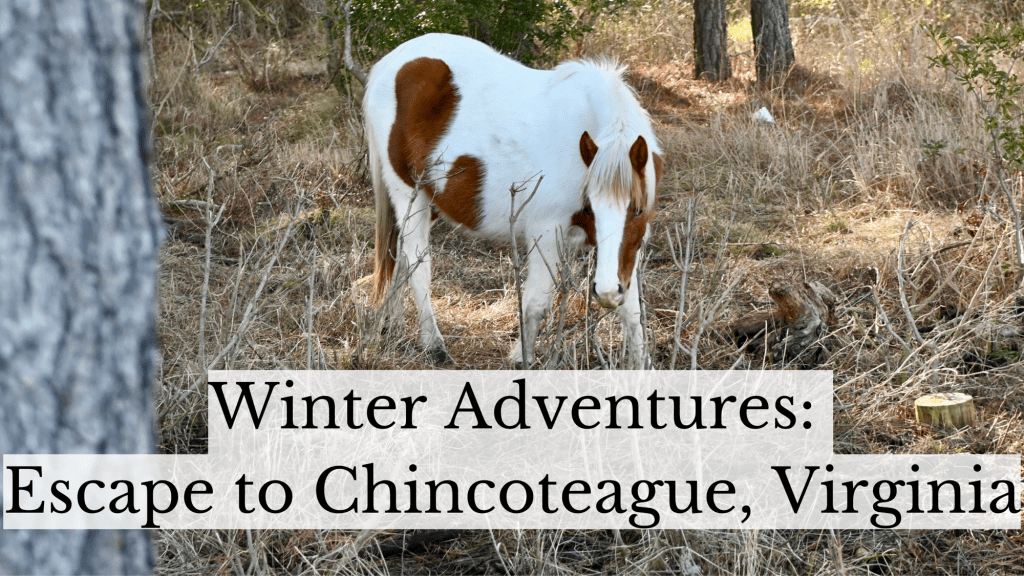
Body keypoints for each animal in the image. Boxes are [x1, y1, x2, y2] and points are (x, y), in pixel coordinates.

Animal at [363, 33, 663, 367]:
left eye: (637, 210)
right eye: (590, 208)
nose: (608, 292)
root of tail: (392, 62)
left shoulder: (629, 249)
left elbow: (633, 311)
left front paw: (641, 364)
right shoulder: (545, 233)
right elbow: (536, 304)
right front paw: (523, 358)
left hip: (429, 201)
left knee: (401, 259)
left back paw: (394, 327)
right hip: (408, 196)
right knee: (418, 265)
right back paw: (433, 344)